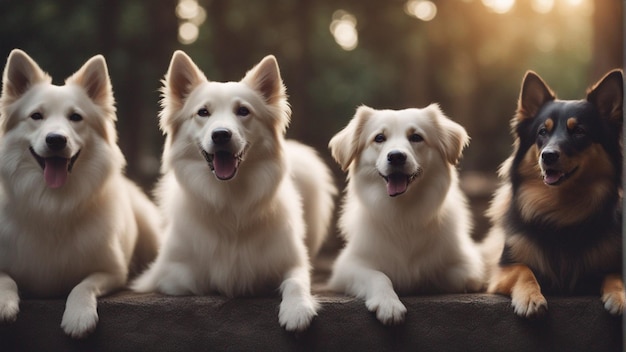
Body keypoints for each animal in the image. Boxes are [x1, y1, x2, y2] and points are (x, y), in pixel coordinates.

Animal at [0, 49, 161, 338]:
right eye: (36, 116)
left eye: (75, 117)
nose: (56, 140)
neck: (52, 203)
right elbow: (5, 279)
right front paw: (5, 303)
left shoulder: (111, 272)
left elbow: (82, 285)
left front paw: (78, 316)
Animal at [132, 51, 336, 332]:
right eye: (203, 112)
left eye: (243, 111)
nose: (221, 135)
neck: (230, 198)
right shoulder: (167, 274)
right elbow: (201, 280)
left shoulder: (292, 261)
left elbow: (296, 281)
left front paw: (297, 309)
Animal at [486, 68, 620, 316]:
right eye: (542, 132)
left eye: (579, 131)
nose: (547, 156)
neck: (560, 209)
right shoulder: (502, 270)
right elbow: (523, 270)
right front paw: (530, 298)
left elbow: (615, 273)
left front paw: (619, 297)